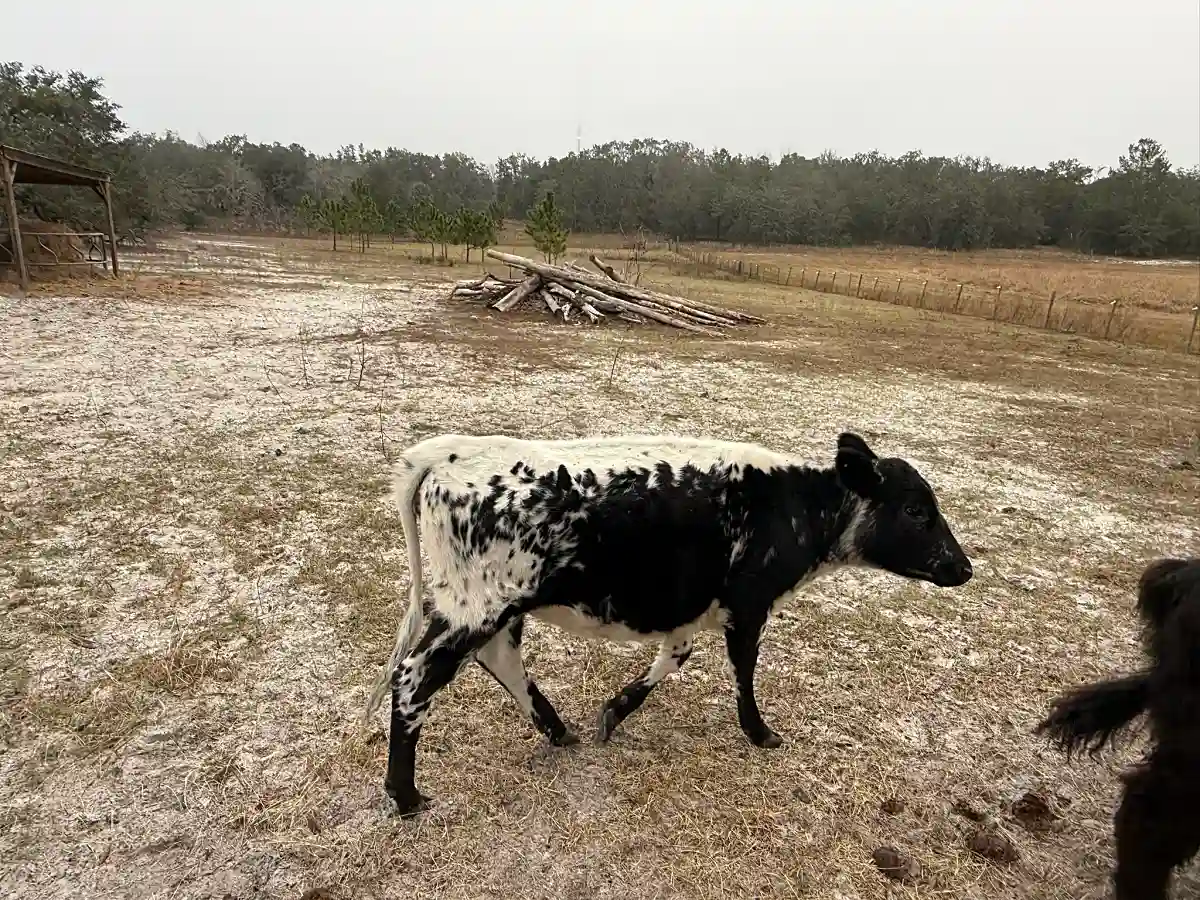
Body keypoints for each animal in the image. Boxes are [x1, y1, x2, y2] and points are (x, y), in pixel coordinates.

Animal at [362, 431, 974, 817]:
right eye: (917, 510)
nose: (963, 567)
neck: (795, 505)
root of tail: (453, 452)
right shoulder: (748, 604)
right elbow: (744, 671)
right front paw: (761, 733)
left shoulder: (693, 610)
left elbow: (672, 658)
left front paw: (615, 710)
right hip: (477, 608)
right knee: (414, 679)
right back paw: (406, 796)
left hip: (491, 610)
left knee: (500, 661)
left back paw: (560, 731)